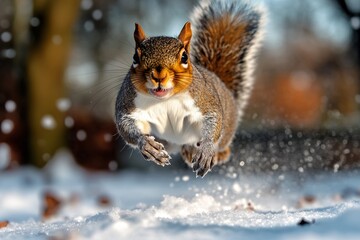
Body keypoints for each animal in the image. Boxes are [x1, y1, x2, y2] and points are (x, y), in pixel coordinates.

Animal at [115, 0, 264, 176]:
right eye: (135, 58)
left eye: (184, 57)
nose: (159, 76)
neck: (165, 99)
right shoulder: (128, 105)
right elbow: (126, 126)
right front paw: (147, 145)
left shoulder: (205, 101)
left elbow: (213, 120)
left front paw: (206, 150)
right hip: (168, 142)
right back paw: (186, 152)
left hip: (225, 132)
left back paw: (214, 153)